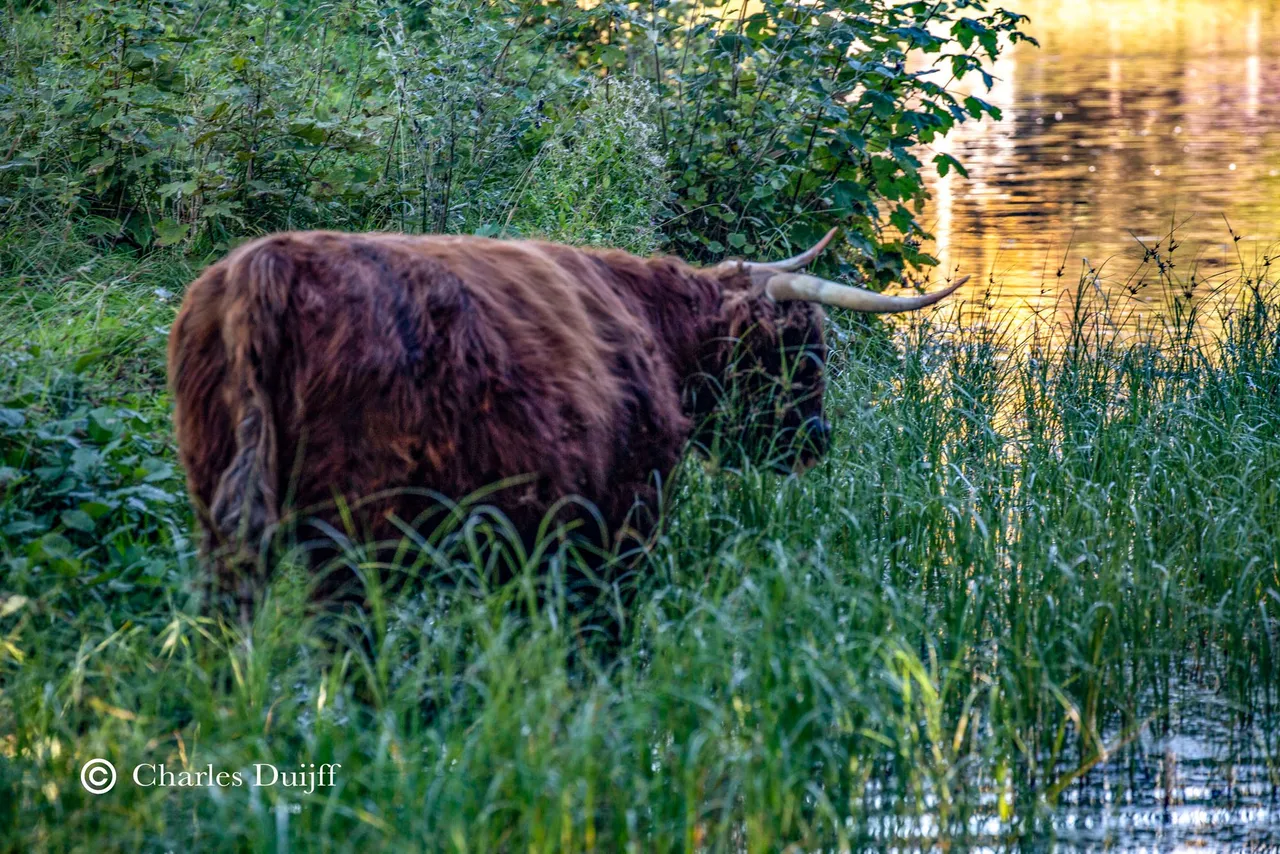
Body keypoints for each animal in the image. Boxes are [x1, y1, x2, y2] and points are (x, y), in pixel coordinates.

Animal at [167, 229, 965, 605]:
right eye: (804, 351)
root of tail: (265, 267)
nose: (817, 441)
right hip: (360, 529)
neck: (656, 330)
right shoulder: (620, 515)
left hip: (220, 511)